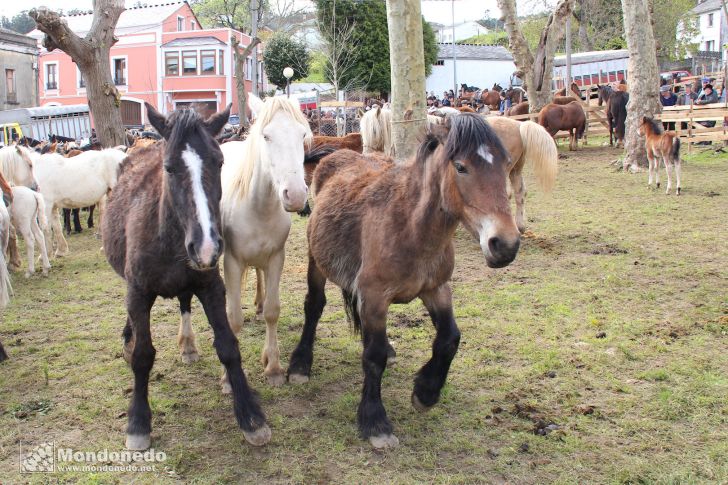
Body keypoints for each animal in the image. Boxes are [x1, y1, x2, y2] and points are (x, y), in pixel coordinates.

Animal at [101, 102, 270, 450]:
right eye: (168, 168)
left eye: (219, 162)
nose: (207, 245)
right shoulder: (138, 292)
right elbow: (143, 355)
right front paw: (138, 422)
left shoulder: (211, 286)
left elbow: (228, 346)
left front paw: (250, 416)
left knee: (184, 302)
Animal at [288, 115, 520, 448]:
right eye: (461, 167)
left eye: (506, 163)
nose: (505, 244)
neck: (409, 225)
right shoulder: (374, 297)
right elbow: (373, 358)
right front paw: (375, 421)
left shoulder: (436, 289)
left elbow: (450, 338)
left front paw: (426, 391)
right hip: (316, 263)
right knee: (314, 306)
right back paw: (300, 365)